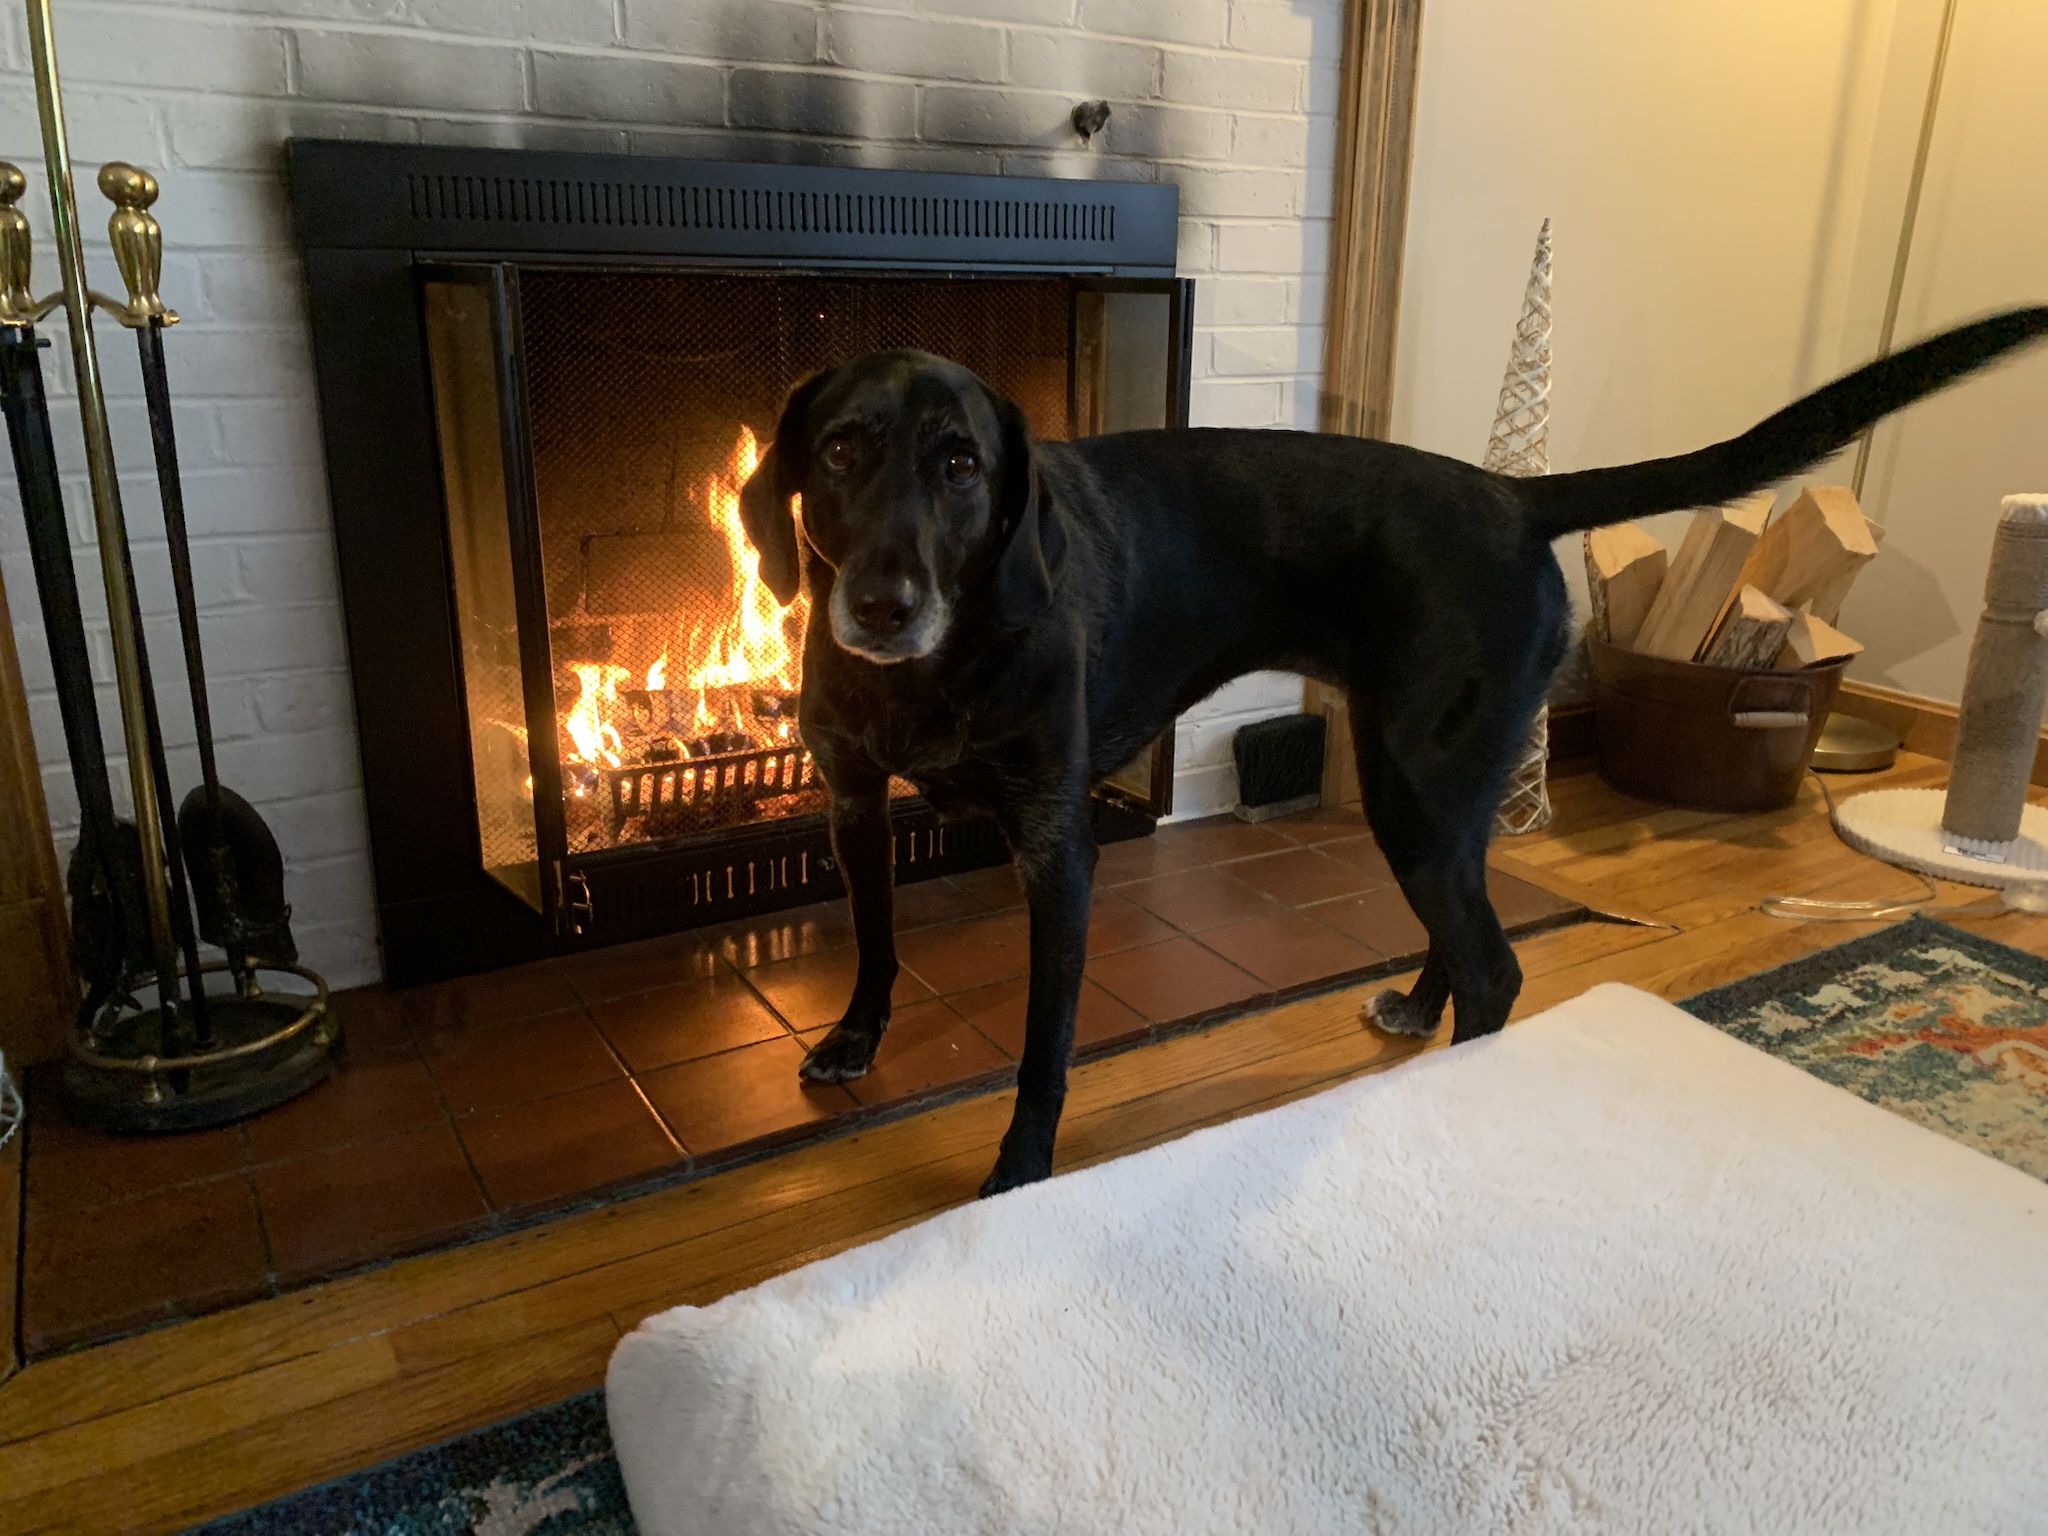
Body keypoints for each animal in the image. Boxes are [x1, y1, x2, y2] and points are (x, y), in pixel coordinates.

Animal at [745, 307, 2048, 1196]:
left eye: (961, 465)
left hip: (1413, 786)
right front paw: (852, 1040)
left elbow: (1042, 1047)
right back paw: (1417, 1014)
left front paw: (1017, 1167)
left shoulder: (1057, 852)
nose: (881, 604)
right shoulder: (851, 801)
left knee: (1496, 966)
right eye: (842, 451)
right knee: (1464, 931)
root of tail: (1517, 501)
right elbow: (874, 941)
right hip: (1426, 775)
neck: (934, 660)